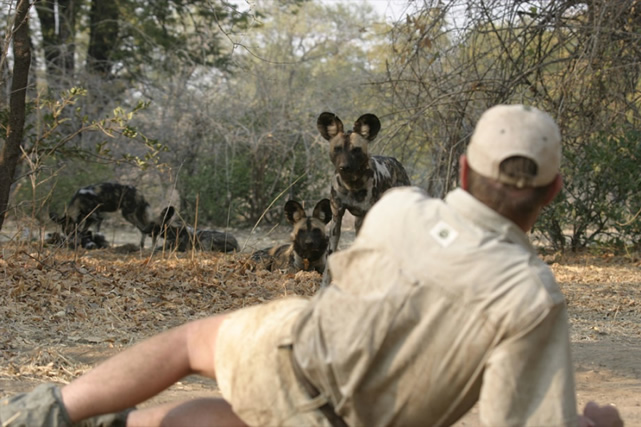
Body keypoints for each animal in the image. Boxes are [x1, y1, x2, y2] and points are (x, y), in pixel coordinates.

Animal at [316, 111, 410, 258]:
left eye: (356, 150)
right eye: (337, 149)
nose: (344, 167)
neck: (351, 184)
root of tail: (396, 162)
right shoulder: (337, 216)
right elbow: (331, 250)